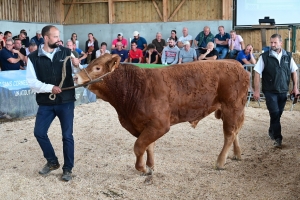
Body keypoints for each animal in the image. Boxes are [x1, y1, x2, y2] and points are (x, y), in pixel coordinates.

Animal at [74, 54, 248, 175]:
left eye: (97, 68)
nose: (75, 77)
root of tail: (235, 64)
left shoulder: (160, 124)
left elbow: (139, 146)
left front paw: (142, 168)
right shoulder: (145, 125)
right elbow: (148, 146)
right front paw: (150, 166)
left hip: (231, 107)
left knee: (229, 134)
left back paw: (220, 162)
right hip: (230, 110)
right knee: (236, 131)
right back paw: (237, 154)